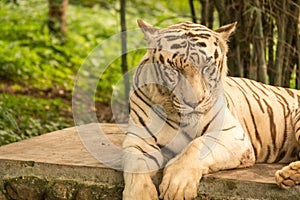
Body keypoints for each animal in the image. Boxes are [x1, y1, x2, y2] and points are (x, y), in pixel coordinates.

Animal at [121, 19, 300, 200]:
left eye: (206, 67)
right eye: (174, 70)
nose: (193, 102)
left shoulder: (232, 133)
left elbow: (195, 146)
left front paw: (177, 185)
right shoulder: (138, 139)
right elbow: (135, 164)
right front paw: (139, 194)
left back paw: (289, 174)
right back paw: (288, 176)